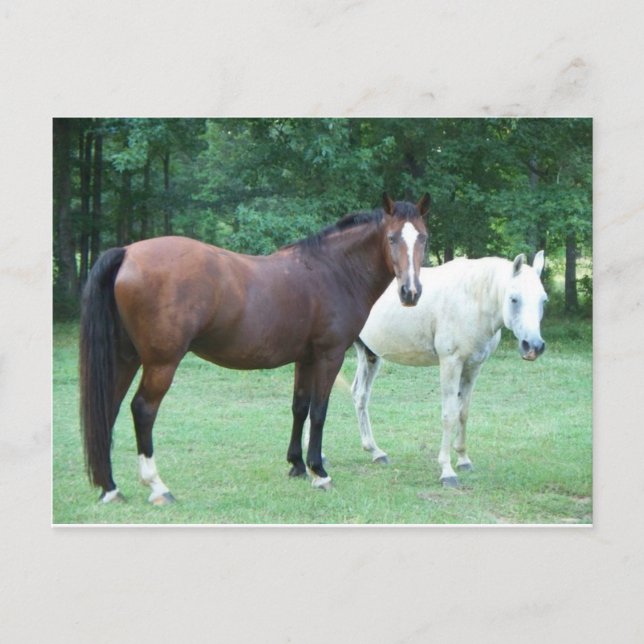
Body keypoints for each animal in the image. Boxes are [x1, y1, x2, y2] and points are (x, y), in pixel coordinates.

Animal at [79, 193, 430, 504]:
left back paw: (110, 488)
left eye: (423, 239)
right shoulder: (328, 356)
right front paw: (319, 472)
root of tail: (127, 253)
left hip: (126, 358)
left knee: (109, 409)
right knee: (142, 410)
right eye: (391, 238)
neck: (333, 272)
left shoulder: (305, 359)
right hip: (160, 363)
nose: (410, 292)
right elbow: (319, 411)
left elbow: (299, 407)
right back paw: (157, 486)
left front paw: (297, 465)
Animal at [352, 251, 547, 487]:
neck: (472, 300)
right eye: (514, 299)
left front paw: (463, 459)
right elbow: (449, 414)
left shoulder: (473, 367)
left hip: (369, 354)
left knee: (360, 396)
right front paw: (447, 471)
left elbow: (463, 412)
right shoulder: (450, 364)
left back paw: (375, 451)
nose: (533, 346)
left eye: (543, 300)